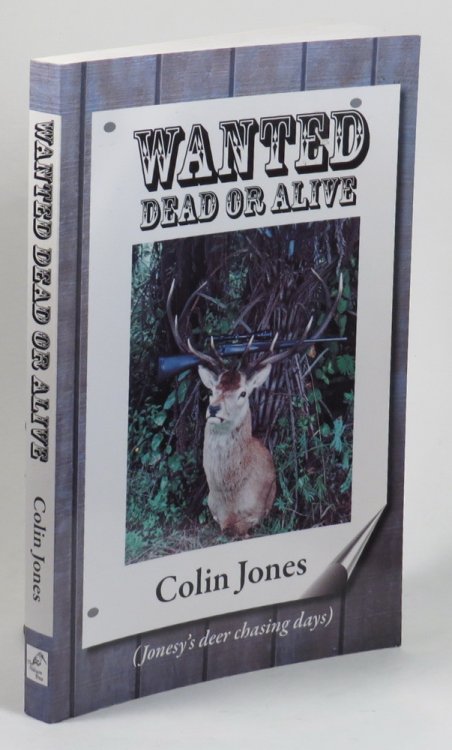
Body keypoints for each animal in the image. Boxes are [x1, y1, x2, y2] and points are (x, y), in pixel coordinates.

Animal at [166, 270, 342, 537]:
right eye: (212, 390)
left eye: (242, 393)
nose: (213, 409)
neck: (229, 502)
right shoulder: (213, 512)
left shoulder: (258, 514)